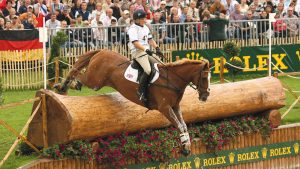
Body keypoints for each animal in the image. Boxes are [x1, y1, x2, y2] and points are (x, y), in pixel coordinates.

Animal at [54, 48, 211, 154]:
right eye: (204, 78)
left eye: (209, 78)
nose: (205, 96)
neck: (172, 79)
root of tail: (102, 51)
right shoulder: (165, 107)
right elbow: (178, 125)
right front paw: (185, 147)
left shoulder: (175, 106)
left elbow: (183, 125)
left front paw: (186, 146)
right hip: (95, 80)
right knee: (77, 74)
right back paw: (62, 86)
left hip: (96, 81)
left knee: (79, 76)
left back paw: (65, 86)